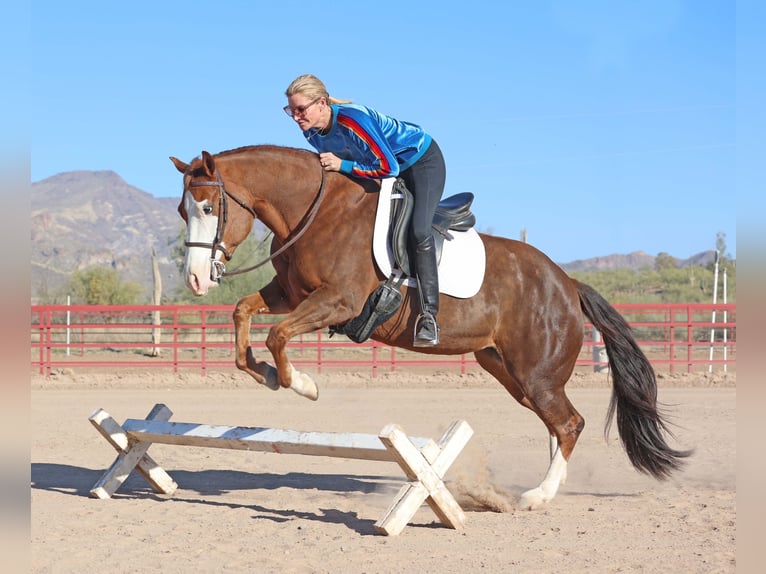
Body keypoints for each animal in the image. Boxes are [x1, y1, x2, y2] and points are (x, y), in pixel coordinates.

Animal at [171, 146, 692, 510]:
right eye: (182, 212)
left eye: (210, 208)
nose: (195, 280)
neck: (315, 212)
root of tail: (567, 282)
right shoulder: (291, 295)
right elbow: (243, 313)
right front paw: (263, 372)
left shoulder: (337, 302)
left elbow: (277, 335)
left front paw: (302, 384)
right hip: (509, 371)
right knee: (557, 423)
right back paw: (542, 487)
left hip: (536, 374)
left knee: (568, 422)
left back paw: (538, 497)